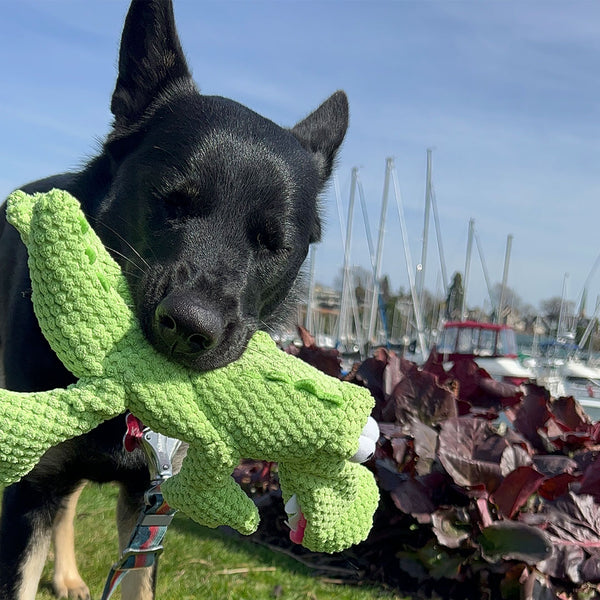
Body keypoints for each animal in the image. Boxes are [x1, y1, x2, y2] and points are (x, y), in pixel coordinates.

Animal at [0, 2, 350, 596]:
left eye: (272, 242)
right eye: (172, 201)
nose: (191, 328)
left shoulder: (149, 508)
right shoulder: (29, 491)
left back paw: (68, 575)